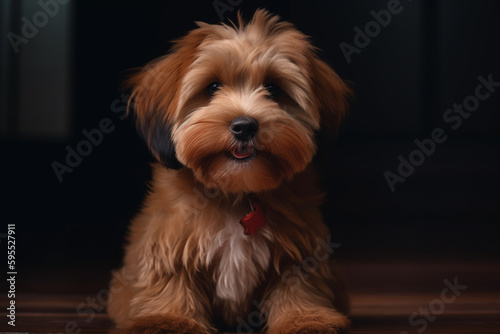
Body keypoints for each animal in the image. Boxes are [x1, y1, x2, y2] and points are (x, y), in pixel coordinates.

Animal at [109, 9, 352, 334]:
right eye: (212, 87)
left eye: (273, 89)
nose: (244, 125)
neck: (234, 191)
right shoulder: (171, 238)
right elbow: (172, 277)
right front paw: (169, 320)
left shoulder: (300, 247)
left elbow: (298, 283)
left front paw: (304, 318)